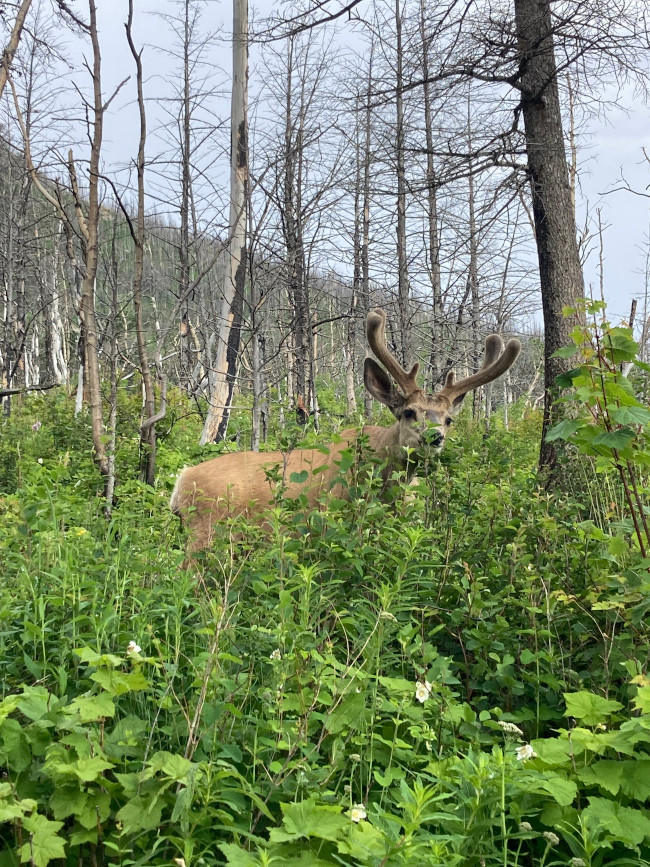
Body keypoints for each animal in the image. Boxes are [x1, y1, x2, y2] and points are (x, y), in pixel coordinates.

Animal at [170, 308, 521, 553]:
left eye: (449, 419)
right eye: (408, 412)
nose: (434, 437)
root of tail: (181, 480)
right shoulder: (332, 520)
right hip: (207, 529)